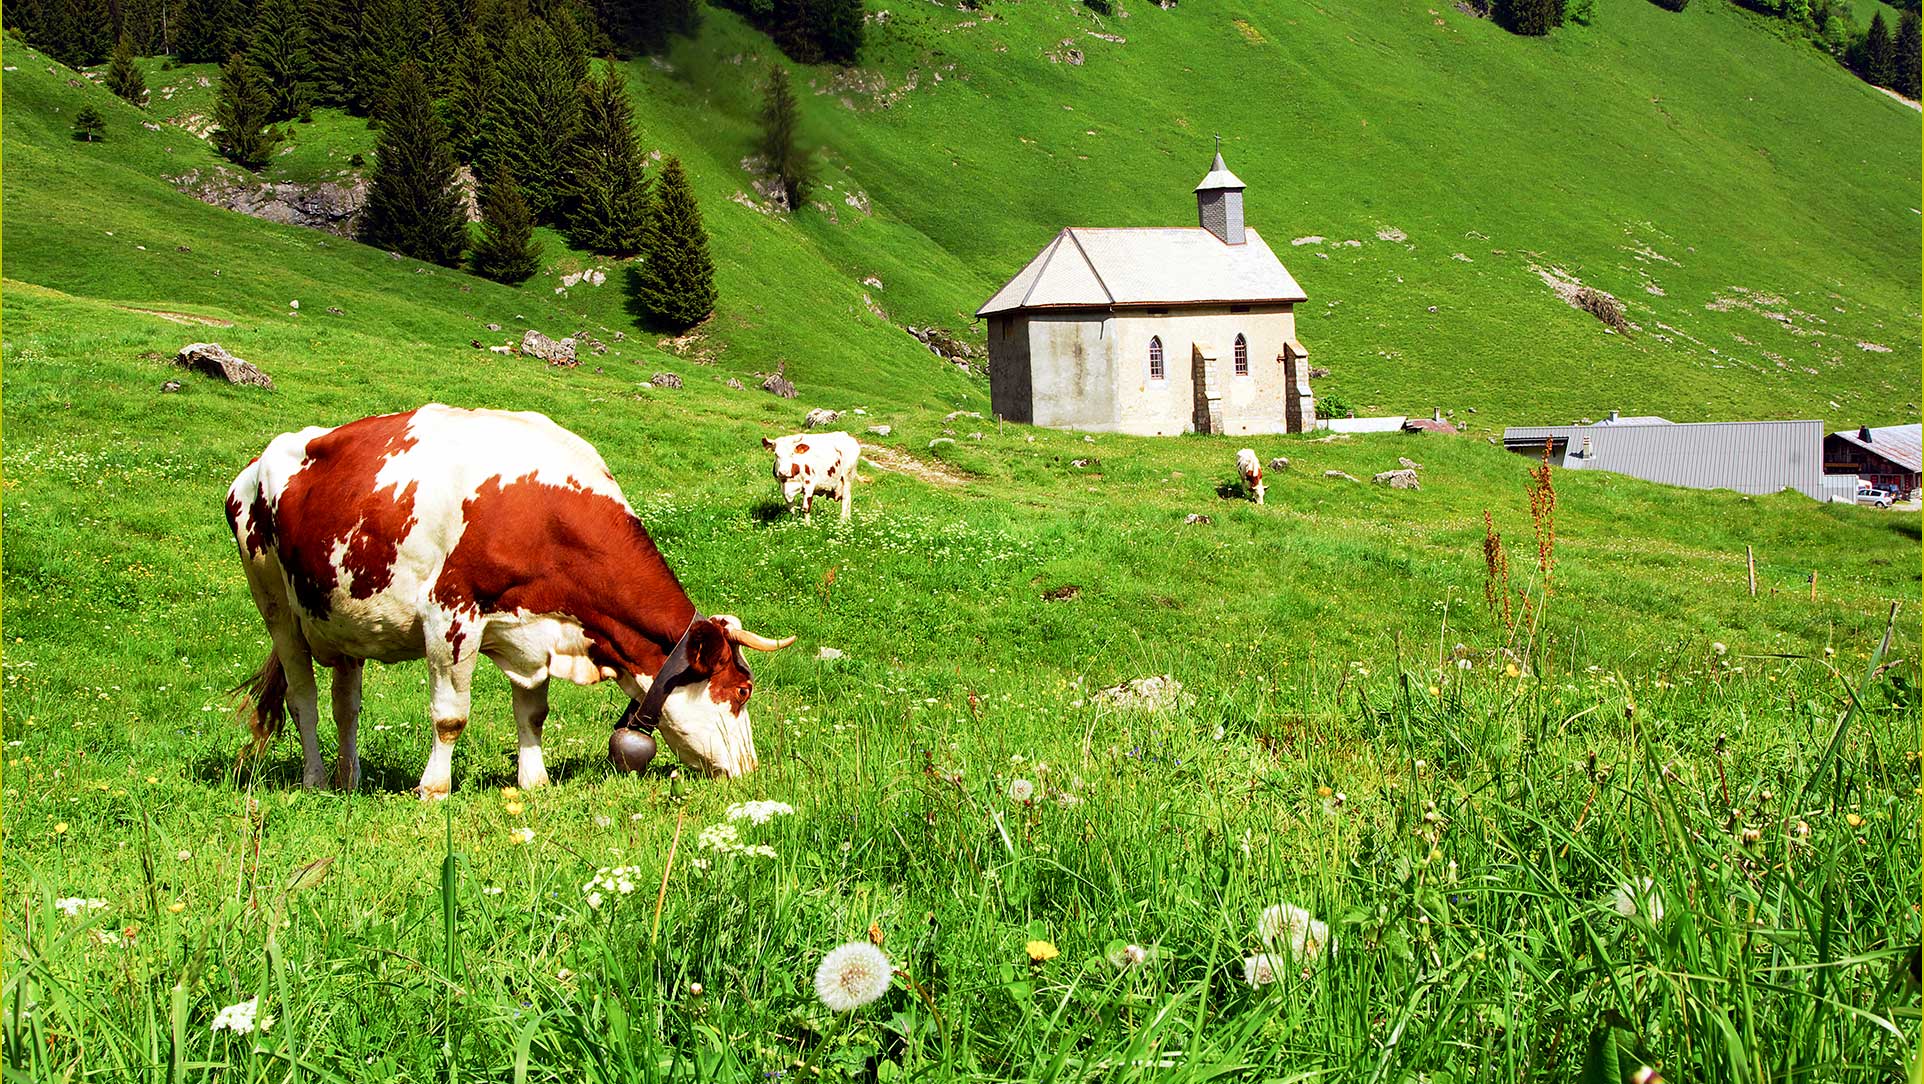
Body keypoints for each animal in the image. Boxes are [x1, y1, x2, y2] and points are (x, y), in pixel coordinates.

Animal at [227, 408, 796, 797]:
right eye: (742, 690)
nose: (750, 771)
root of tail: (255, 464)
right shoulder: (450, 614)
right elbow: (450, 716)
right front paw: (434, 789)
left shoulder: (533, 631)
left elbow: (534, 712)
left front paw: (534, 780)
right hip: (276, 607)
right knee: (303, 699)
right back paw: (317, 779)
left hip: (344, 618)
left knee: (346, 705)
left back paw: (350, 779)